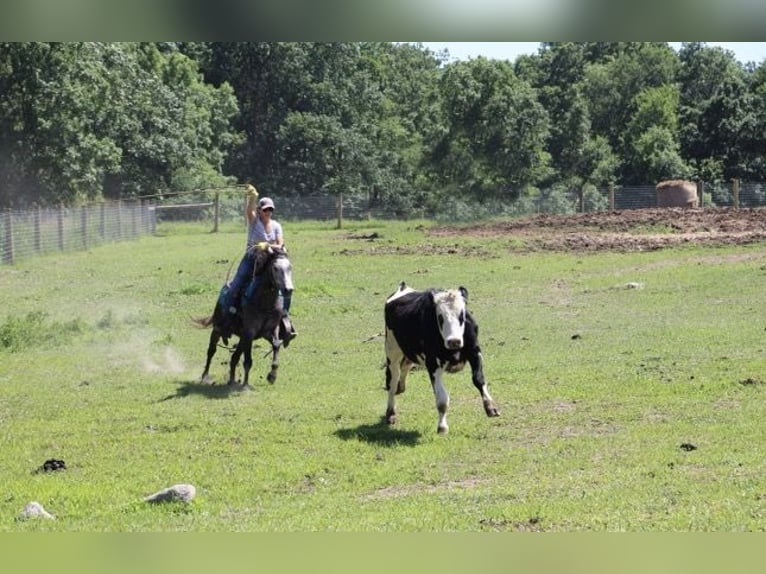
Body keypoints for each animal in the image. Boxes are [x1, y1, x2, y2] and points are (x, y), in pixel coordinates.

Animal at [194, 244, 296, 389]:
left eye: (290, 267)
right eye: (275, 268)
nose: (288, 290)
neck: (264, 303)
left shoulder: (270, 330)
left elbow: (276, 345)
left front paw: (272, 376)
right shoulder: (249, 333)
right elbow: (247, 360)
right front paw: (245, 385)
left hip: (243, 338)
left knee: (235, 356)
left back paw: (231, 380)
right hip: (217, 330)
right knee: (211, 351)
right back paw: (205, 376)